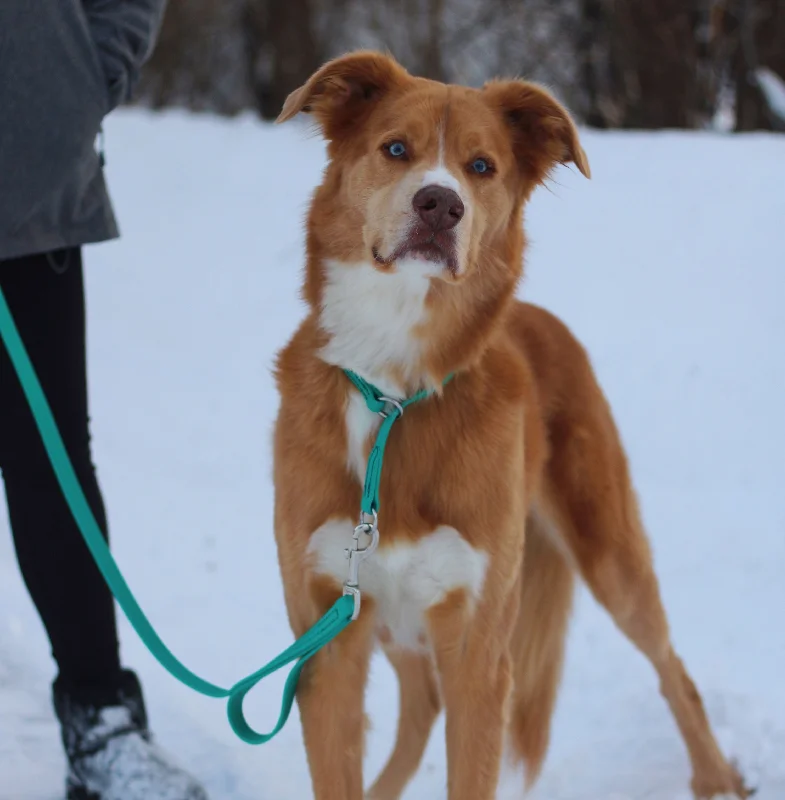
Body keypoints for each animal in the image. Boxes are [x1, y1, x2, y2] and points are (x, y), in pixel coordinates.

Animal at [270, 51, 748, 800]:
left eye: (481, 166)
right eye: (395, 149)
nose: (440, 204)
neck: (395, 390)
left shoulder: (477, 647)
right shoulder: (329, 636)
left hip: (607, 552)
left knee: (672, 665)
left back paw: (716, 776)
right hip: (396, 623)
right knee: (420, 705)